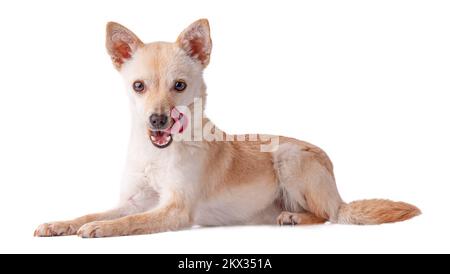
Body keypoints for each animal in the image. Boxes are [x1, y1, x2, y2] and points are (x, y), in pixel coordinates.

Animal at [33, 18, 420, 238]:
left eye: (179, 86)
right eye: (138, 86)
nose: (157, 120)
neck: (158, 155)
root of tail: (339, 194)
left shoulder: (174, 210)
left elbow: (126, 223)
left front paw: (100, 228)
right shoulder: (133, 202)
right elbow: (94, 211)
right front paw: (61, 223)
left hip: (290, 156)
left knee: (329, 216)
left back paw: (295, 218)